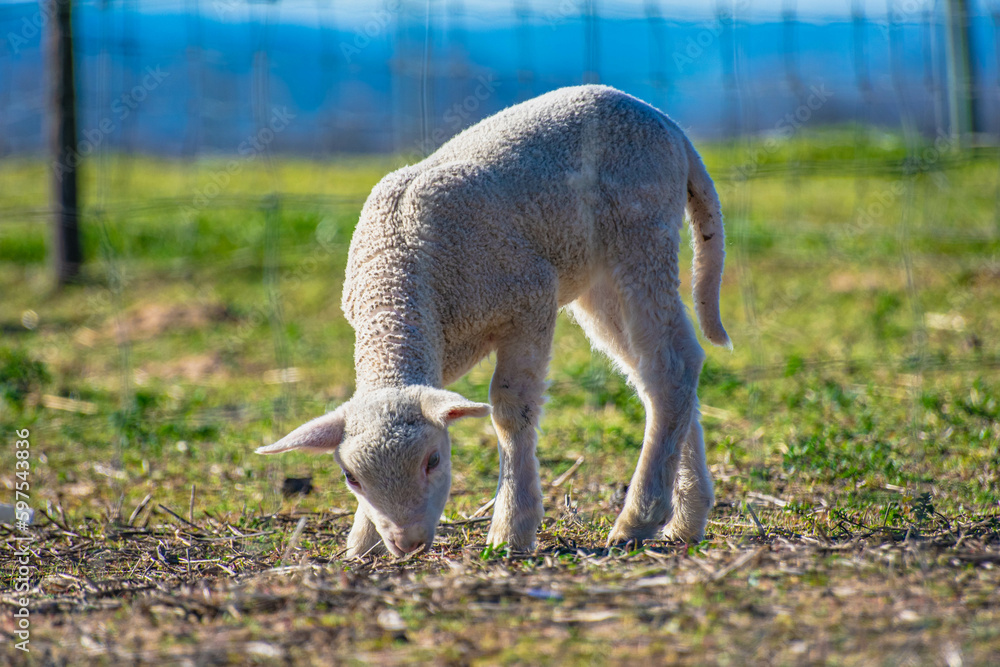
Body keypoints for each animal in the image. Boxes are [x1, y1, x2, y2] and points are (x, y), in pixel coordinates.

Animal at [256, 84, 729, 558]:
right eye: (351, 478)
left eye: (434, 460)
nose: (408, 543)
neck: (398, 278)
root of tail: (664, 121)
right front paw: (363, 541)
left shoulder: (530, 299)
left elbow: (510, 408)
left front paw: (511, 529)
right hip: (598, 278)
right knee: (658, 373)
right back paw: (684, 519)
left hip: (641, 236)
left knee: (671, 365)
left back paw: (638, 518)